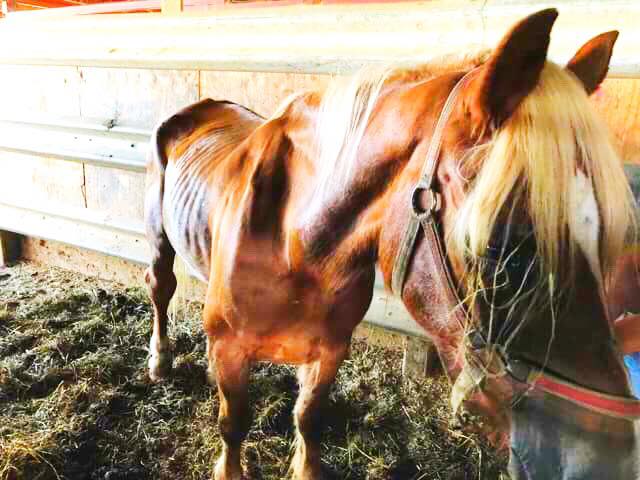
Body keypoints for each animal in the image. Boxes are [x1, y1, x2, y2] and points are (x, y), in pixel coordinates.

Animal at [144, 8, 640, 479]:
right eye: (502, 255)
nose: (608, 462)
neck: (296, 246)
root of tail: (203, 105)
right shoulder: (228, 349)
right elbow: (234, 424)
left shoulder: (329, 349)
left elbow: (308, 417)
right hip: (159, 242)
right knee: (161, 290)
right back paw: (160, 361)